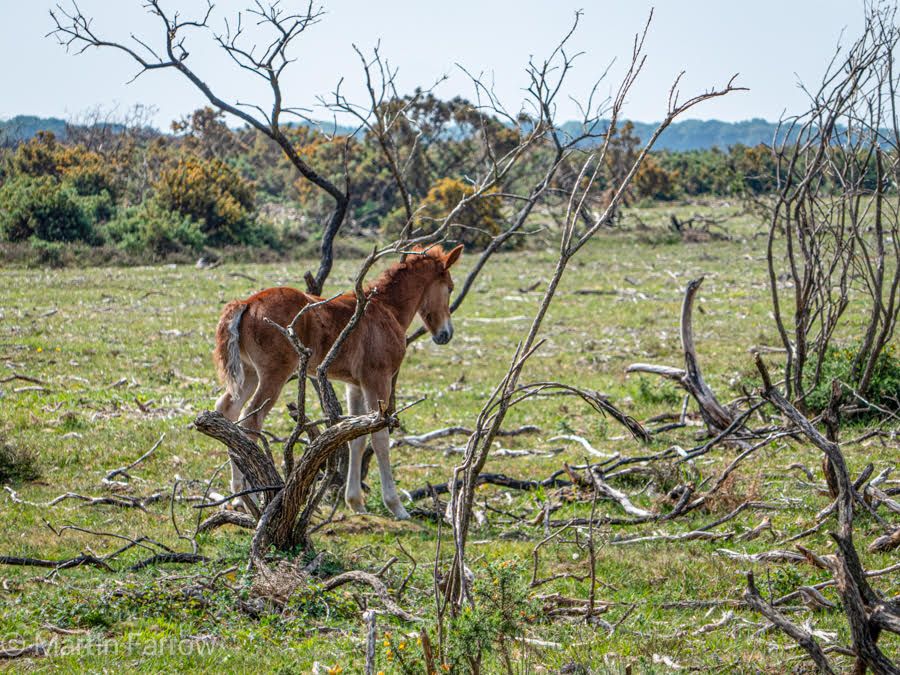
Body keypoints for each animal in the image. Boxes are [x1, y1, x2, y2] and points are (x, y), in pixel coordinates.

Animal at [212, 244, 463, 519]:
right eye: (450, 287)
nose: (446, 334)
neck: (386, 308)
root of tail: (246, 303)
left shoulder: (355, 385)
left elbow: (356, 437)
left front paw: (355, 502)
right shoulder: (378, 378)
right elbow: (380, 437)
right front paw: (396, 506)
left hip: (248, 373)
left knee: (227, 411)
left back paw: (236, 492)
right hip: (273, 374)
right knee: (251, 420)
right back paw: (248, 495)